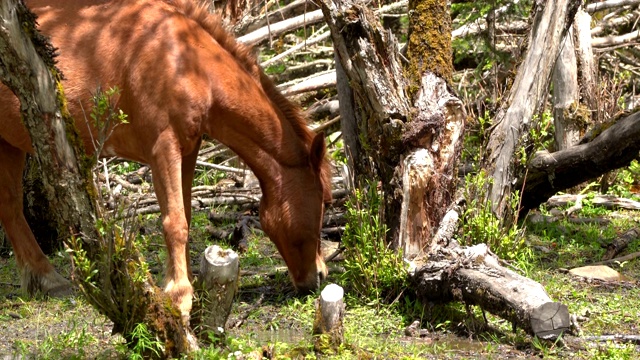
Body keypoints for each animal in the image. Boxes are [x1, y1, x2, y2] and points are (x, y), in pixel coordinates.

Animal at [0, 0, 330, 320]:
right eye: (322, 205)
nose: (320, 276)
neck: (188, 64)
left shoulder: (188, 150)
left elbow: (185, 214)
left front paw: (185, 284)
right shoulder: (163, 148)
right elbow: (175, 223)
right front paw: (180, 295)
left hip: (9, 144)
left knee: (11, 208)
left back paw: (47, 280)